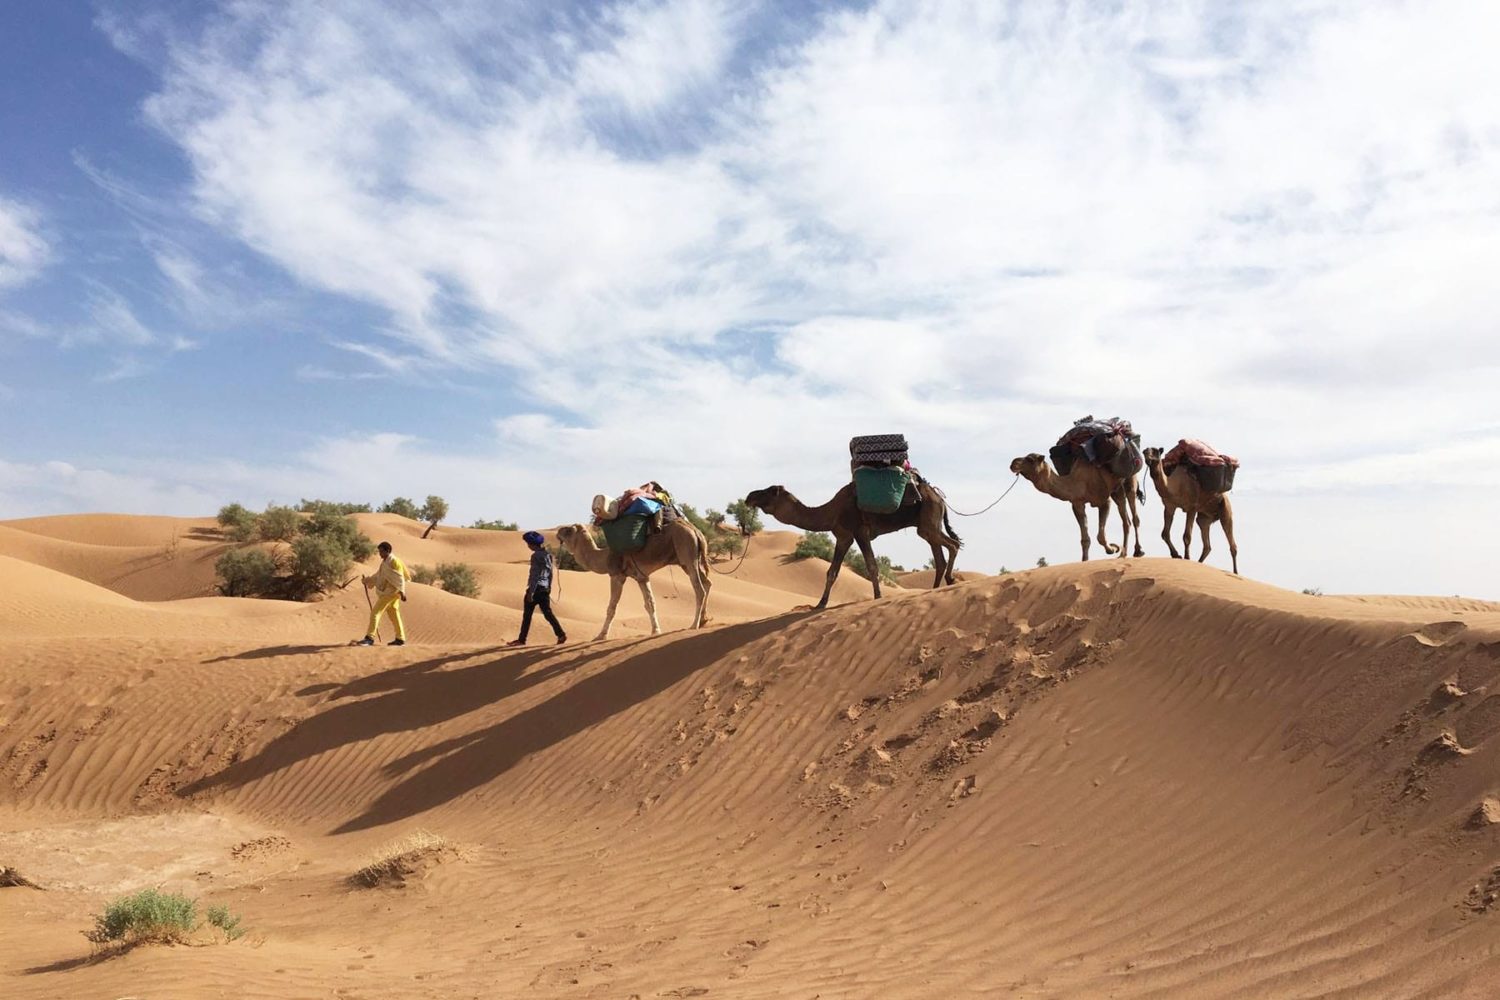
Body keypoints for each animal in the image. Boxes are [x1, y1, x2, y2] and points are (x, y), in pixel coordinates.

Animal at [555, 515, 711, 641]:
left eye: (568, 531)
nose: (558, 532)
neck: (604, 557)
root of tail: (696, 531)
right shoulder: (642, 577)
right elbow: (650, 603)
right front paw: (656, 631)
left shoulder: (616, 575)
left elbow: (612, 607)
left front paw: (601, 636)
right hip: (689, 560)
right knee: (707, 583)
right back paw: (704, 620)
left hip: (687, 551)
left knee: (699, 589)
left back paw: (694, 625)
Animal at [747, 479, 960, 611]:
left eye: (771, 491)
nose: (750, 496)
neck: (832, 512)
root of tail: (939, 496)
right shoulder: (843, 537)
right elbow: (832, 572)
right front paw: (820, 604)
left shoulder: (860, 531)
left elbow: (872, 566)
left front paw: (878, 597)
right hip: (927, 523)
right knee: (940, 552)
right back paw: (936, 588)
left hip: (928, 517)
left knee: (953, 544)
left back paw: (949, 580)